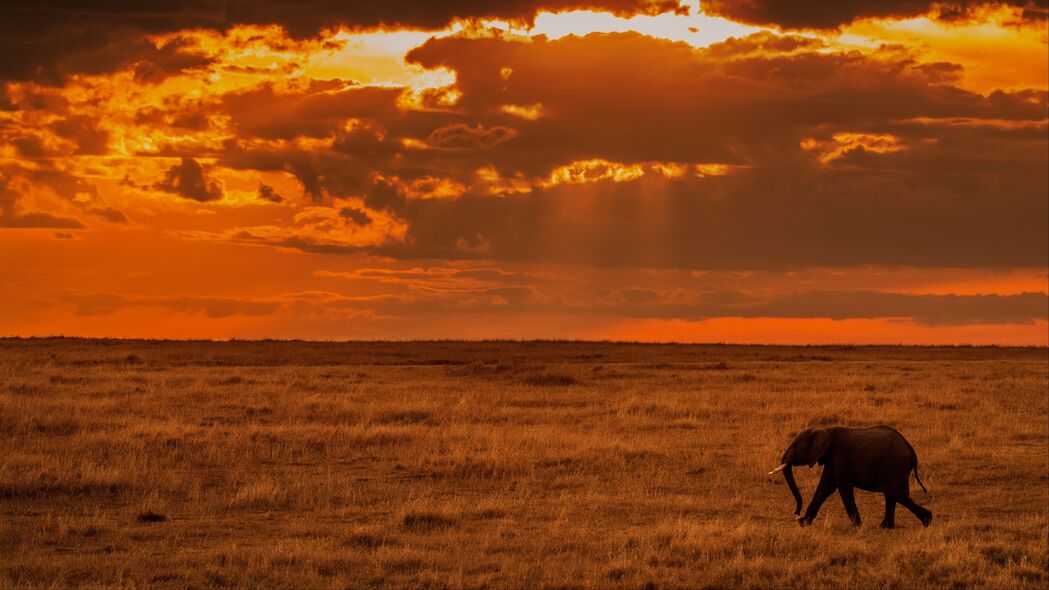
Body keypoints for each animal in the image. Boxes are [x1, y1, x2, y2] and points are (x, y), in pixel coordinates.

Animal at [767, 422, 931, 529]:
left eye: (796, 448)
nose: (796, 513)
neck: (824, 430)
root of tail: (912, 451)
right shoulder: (831, 459)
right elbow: (824, 488)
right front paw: (804, 523)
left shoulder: (838, 456)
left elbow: (843, 489)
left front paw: (857, 526)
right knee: (892, 496)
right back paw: (885, 527)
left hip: (895, 468)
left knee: (897, 495)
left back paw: (927, 520)